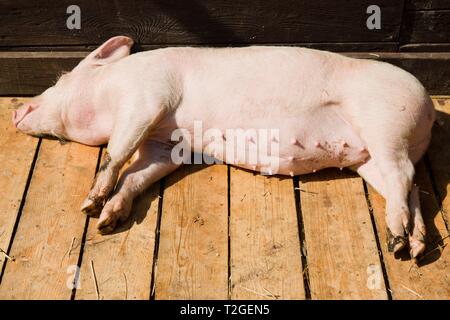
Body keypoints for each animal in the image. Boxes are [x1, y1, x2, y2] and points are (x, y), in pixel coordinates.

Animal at [13, 36, 436, 258]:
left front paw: (89, 206)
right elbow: (139, 176)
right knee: (411, 187)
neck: (109, 93)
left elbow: (117, 153)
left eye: (61, 78)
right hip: (368, 156)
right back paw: (414, 247)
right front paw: (106, 221)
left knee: (403, 176)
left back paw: (396, 243)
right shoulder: (165, 145)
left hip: (385, 123)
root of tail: (431, 108)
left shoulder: (146, 98)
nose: (16, 110)